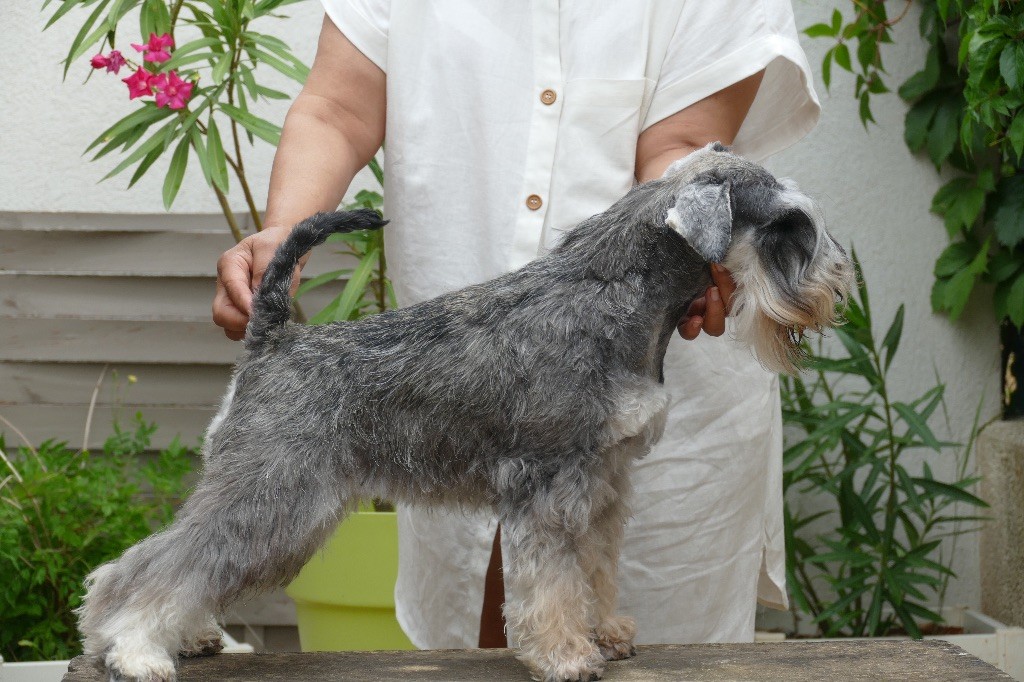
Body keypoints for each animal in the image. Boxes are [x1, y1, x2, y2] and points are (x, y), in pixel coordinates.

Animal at [77, 143, 854, 682]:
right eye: (788, 223)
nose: (836, 287)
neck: (615, 295)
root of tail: (274, 337)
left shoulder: (604, 483)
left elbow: (594, 568)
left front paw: (604, 632)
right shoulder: (551, 486)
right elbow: (551, 580)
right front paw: (564, 655)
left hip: (276, 501)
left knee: (181, 563)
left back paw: (180, 635)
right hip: (273, 494)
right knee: (156, 564)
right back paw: (135, 649)